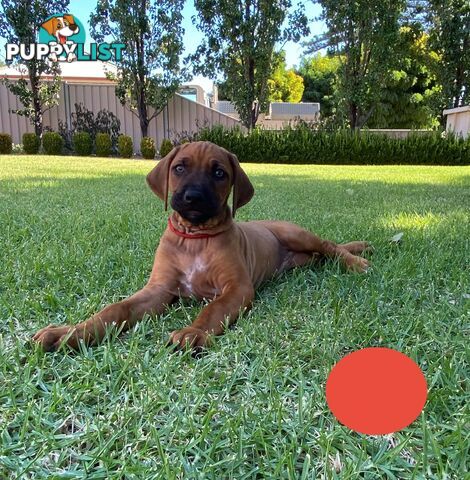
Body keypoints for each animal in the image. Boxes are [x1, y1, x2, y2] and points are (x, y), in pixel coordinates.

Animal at [33, 141, 370, 350]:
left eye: (219, 173)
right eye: (179, 168)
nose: (193, 197)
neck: (194, 238)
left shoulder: (236, 288)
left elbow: (213, 309)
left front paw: (193, 333)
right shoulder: (159, 289)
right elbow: (117, 308)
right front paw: (70, 333)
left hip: (295, 233)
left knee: (329, 246)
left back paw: (357, 260)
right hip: (302, 258)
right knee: (320, 256)